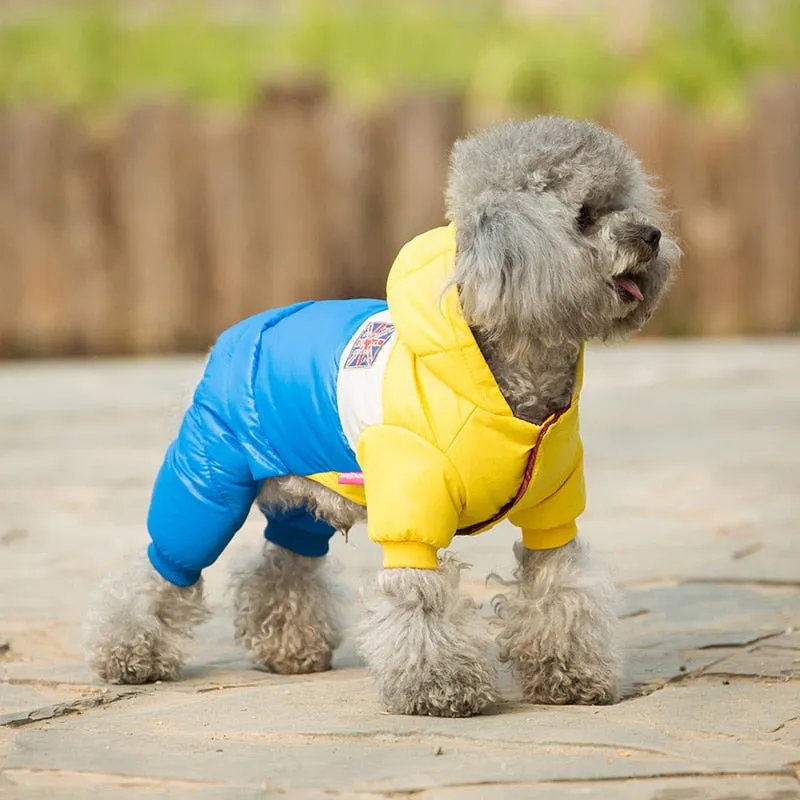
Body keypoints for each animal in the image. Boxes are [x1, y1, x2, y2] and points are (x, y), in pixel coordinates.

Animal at [83, 114, 680, 720]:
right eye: (585, 216)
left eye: (625, 203)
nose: (652, 236)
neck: (513, 378)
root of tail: (238, 333)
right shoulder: (414, 505)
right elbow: (419, 603)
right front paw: (440, 687)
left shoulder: (551, 511)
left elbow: (560, 588)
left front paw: (570, 675)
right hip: (209, 484)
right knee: (163, 566)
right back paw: (130, 653)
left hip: (308, 492)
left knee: (283, 563)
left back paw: (290, 648)